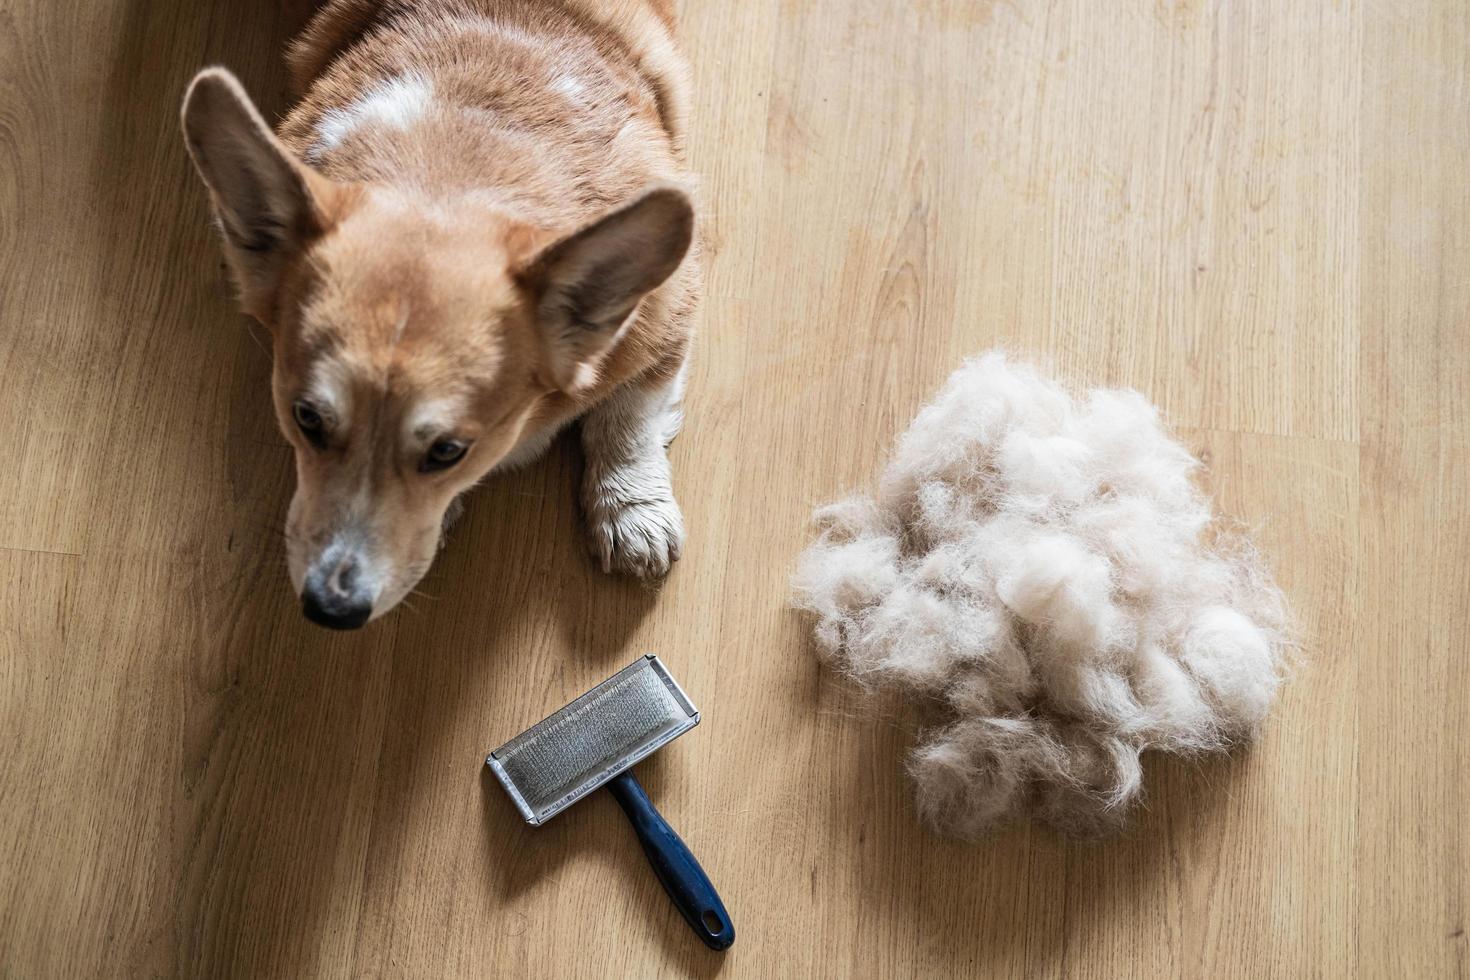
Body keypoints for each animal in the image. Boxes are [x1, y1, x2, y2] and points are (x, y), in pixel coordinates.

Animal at [182, 0, 699, 628]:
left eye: (448, 452)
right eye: (305, 418)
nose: (330, 608)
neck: (450, 174)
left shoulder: (669, 317)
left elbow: (629, 415)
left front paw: (632, 516)